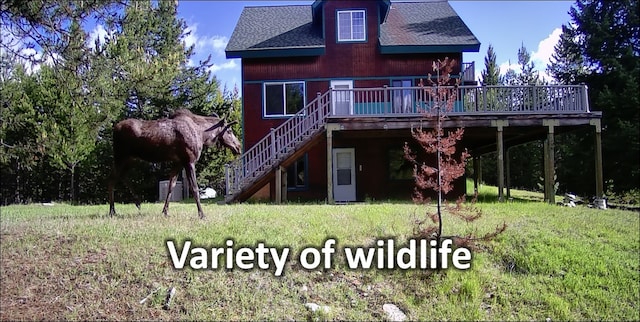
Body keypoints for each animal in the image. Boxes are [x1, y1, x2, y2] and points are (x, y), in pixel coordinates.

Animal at [109, 109, 241, 219]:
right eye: (229, 131)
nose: (238, 147)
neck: (203, 135)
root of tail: (114, 129)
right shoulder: (189, 161)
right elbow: (195, 188)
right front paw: (201, 214)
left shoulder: (178, 162)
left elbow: (171, 186)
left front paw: (165, 211)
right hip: (121, 156)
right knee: (112, 179)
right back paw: (112, 211)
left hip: (130, 159)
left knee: (121, 176)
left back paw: (137, 202)